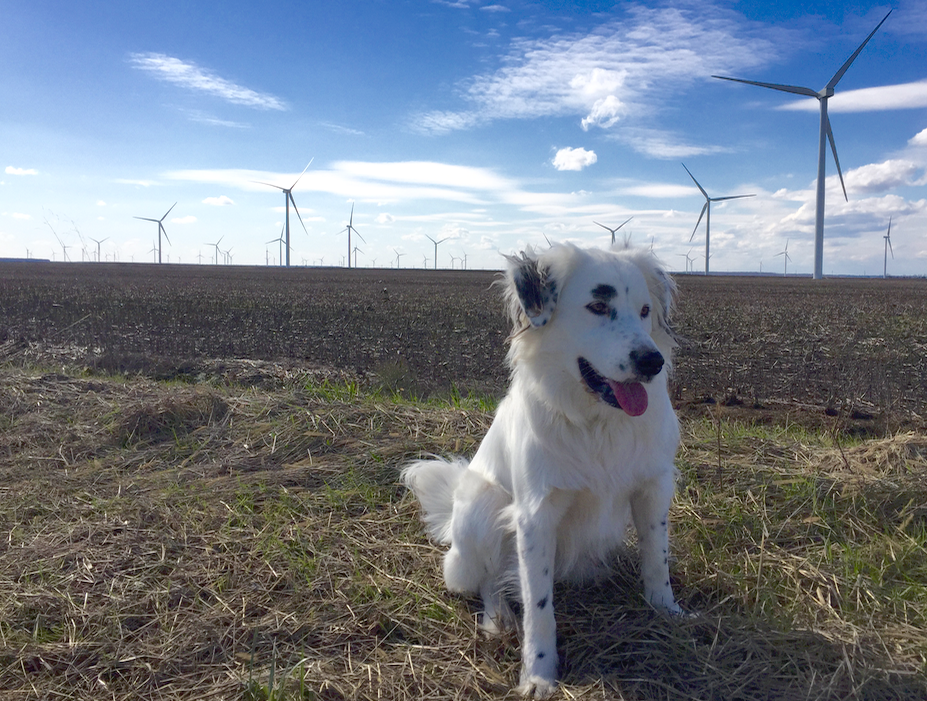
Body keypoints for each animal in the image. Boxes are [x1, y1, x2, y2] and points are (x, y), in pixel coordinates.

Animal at [400, 242, 680, 696]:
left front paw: (666, 611)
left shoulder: (653, 488)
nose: (651, 361)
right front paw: (539, 673)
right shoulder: (535, 515)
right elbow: (539, 605)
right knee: (490, 580)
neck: (597, 422)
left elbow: (658, 558)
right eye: (598, 306)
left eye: (644, 310)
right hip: (483, 503)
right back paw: (498, 619)